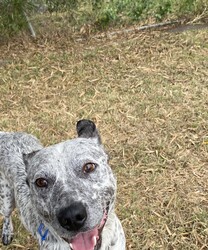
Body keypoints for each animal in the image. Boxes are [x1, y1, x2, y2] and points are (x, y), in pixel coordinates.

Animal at [0, 120, 125, 249]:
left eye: (89, 167)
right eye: (41, 182)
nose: (72, 217)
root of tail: (6, 135)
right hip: (6, 200)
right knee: (6, 215)